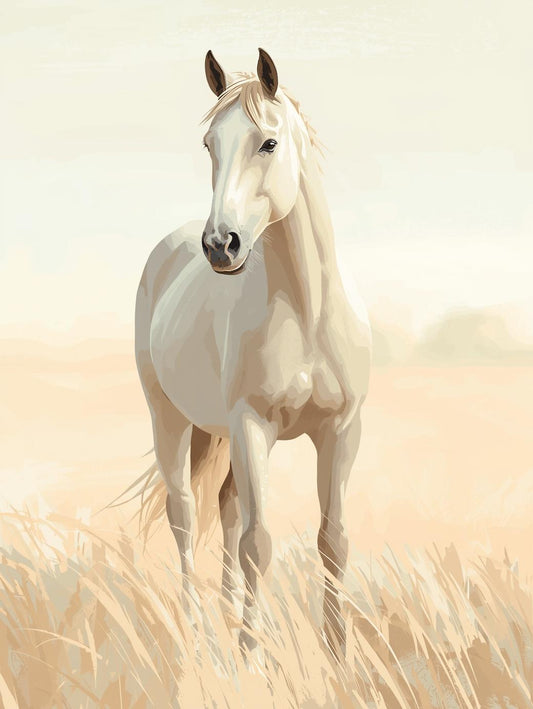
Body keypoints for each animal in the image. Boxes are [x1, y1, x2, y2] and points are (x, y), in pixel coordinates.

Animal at [135, 48, 371, 659]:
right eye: (208, 145)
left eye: (268, 143)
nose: (221, 245)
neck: (307, 312)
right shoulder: (252, 425)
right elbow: (258, 542)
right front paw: (253, 655)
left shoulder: (341, 430)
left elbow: (333, 540)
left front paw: (338, 655)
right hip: (169, 418)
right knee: (184, 514)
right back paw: (195, 630)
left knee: (224, 503)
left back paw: (224, 614)